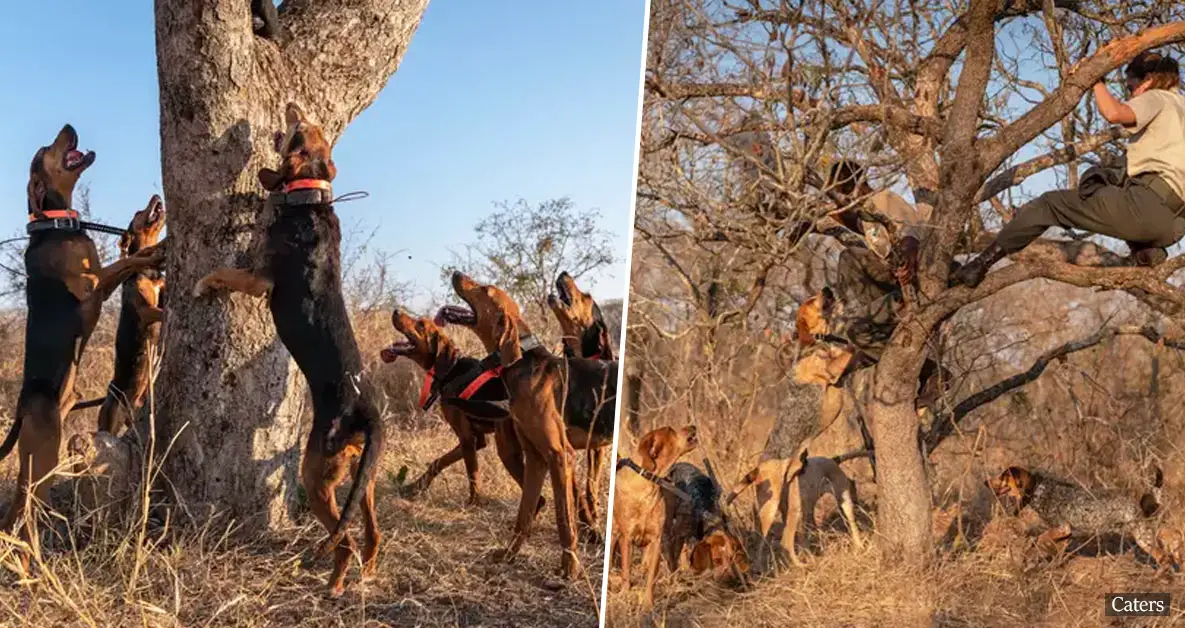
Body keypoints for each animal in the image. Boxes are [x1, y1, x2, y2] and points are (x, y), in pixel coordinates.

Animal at [191, 103, 381, 597]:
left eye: (299, 130)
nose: (293, 107)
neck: (309, 198)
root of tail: (368, 413)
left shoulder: (258, 279)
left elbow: (223, 270)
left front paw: (202, 284)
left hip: (316, 476)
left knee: (343, 540)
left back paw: (334, 584)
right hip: (364, 479)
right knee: (372, 532)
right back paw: (367, 572)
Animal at [381, 308, 542, 507]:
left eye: (421, 325)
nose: (396, 311)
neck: (451, 369)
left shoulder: (467, 438)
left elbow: (472, 473)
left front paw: (474, 502)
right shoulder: (476, 439)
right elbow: (440, 461)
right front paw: (417, 486)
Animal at [611, 421, 692, 604]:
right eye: (670, 430)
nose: (693, 427)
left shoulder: (656, 540)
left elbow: (652, 577)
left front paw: (648, 603)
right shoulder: (626, 538)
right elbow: (626, 572)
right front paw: (625, 594)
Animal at [985, 462, 1170, 568]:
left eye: (1004, 476)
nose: (986, 482)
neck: (1038, 490)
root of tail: (1139, 504)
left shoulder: (1062, 528)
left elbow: (1040, 538)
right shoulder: (1065, 534)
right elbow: (1055, 550)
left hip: (1143, 536)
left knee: (1164, 558)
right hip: (1143, 539)